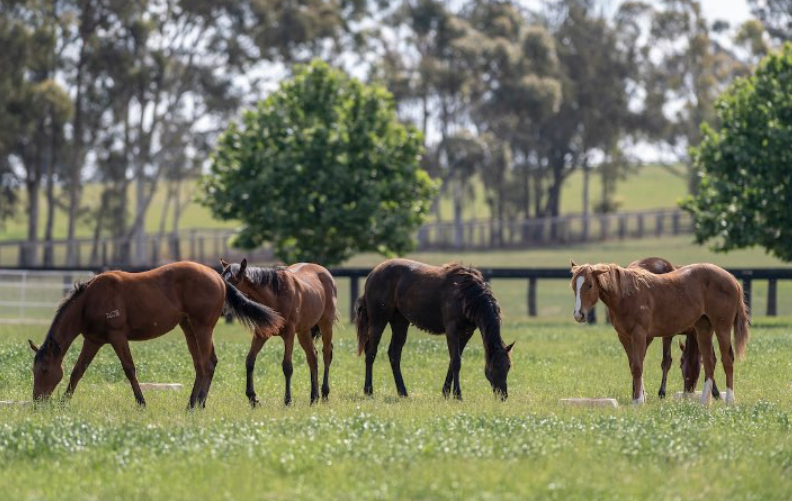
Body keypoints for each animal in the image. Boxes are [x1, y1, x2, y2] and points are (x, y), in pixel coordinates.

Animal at [29, 260, 284, 408]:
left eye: (45, 370)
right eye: (34, 370)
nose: (37, 401)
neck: (89, 300)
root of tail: (219, 278)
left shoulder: (117, 337)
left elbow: (129, 369)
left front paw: (141, 402)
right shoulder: (93, 340)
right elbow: (77, 371)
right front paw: (64, 402)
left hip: (202, 327)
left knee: (208, 363)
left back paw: (200, 403)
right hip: (188, 327)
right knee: (200, 365)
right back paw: (191, 403)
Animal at [220, 256, 338, 404]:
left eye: (233, 283)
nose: (220, 306)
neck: (277, 296)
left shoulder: (289, 334)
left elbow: (287, 367)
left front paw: (287, 400)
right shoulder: (261, 333)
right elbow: (250, 361)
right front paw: (252, 398)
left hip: (326, 324)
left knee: (326, 354)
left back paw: (324, 394)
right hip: (304, 331)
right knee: (312, 356)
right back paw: (313, 397)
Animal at [352, 258, 512, 398]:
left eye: (508, 366)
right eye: (494, 367)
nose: (503, 395)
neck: (466, 295)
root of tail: (373, 273)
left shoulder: (467, 332)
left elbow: (453, 360)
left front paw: (446, 392)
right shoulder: (452, 329)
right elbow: (456, 361)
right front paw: (458, 395)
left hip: (400, 321)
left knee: (394, 354)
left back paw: (403, 392)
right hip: (378, 320)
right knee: (371, 351)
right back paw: (368, 390)